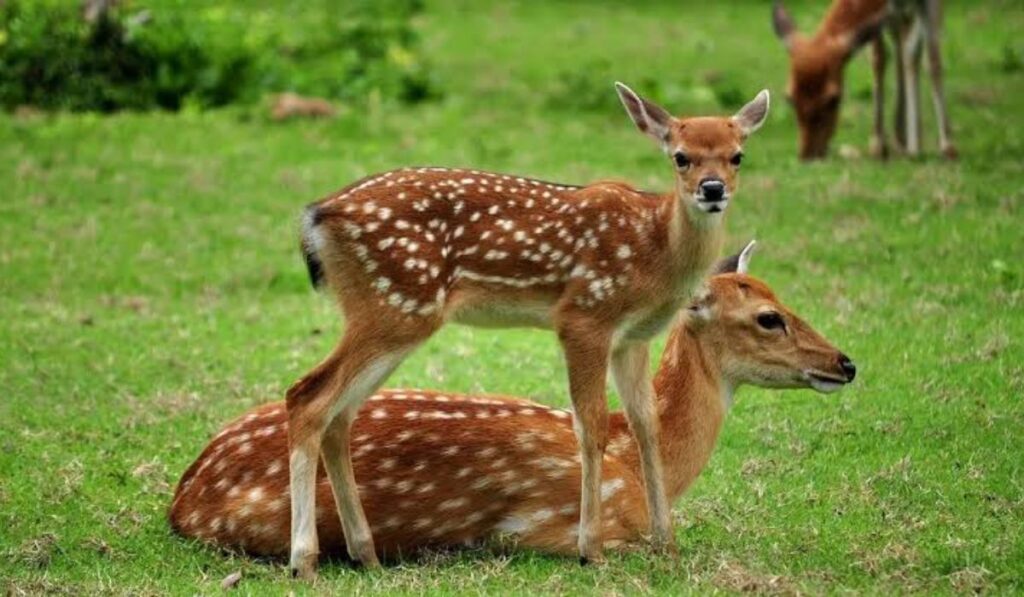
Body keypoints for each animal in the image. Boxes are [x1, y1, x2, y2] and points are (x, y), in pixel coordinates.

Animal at [170, 242, 857, 561]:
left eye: (781, 297)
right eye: (768, 318)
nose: (845, 363)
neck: (637, 464)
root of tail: (181, 498)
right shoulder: (550, 528)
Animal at [282, 81, 770, 576]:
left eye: (737, 155)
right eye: (680, 156)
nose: (712, 190)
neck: (655, 250)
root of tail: (317, 216)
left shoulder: (633, 338)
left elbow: (645, 425)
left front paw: (666, 546)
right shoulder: (584, 315)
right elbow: (591, 426)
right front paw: (590, 549)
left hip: (387, 309)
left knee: (339, 414)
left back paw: (365, 553)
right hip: (395, 303)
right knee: (308, 395)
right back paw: (303, 559)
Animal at [772, 0, 957, 160]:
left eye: (834, 99)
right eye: (789, 97)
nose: (808, 155)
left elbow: (928, 58)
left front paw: (945, 147)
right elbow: (878, 58)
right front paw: (878, 145)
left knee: (909, 46)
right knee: (899, 40)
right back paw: (900, 137)